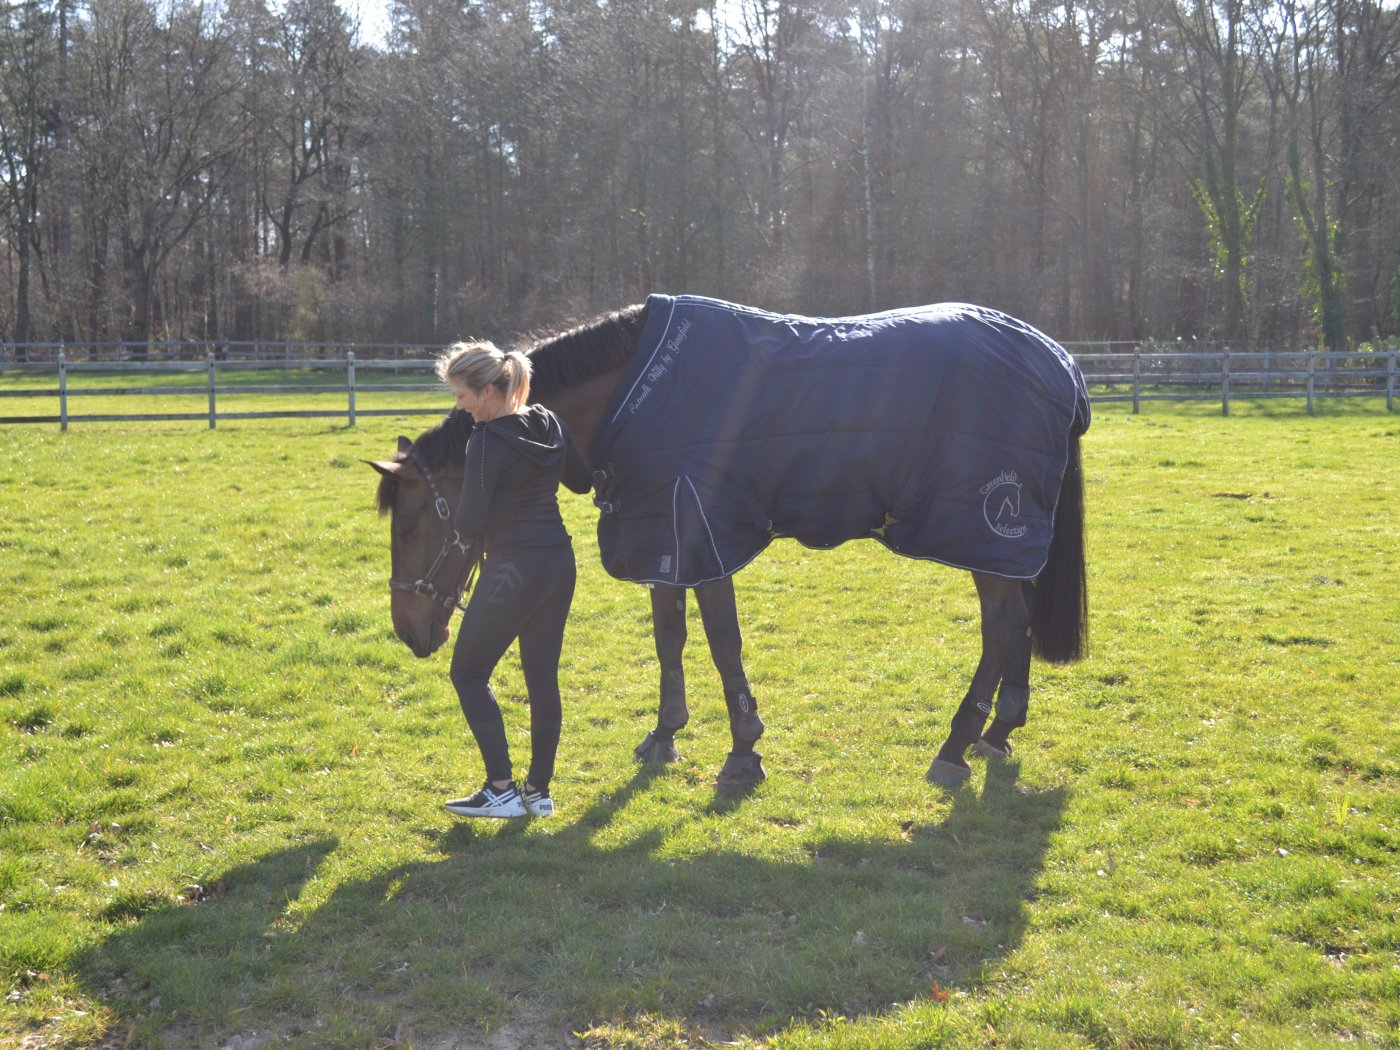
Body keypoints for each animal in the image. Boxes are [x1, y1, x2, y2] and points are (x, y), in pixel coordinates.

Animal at [370, 295, 1089, 790]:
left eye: (409, 526)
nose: (410, 632)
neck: (633, 397)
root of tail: (1060, 362)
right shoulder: (663, 538)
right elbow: (670, 639)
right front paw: (665, 734)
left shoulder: (702, 532)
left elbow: (721, 644)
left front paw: (743, 751)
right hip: (1003, 547)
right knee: (1019, 624)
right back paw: (999, 730)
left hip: (985, 534)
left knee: (1002, 627)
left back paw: (955, 745)